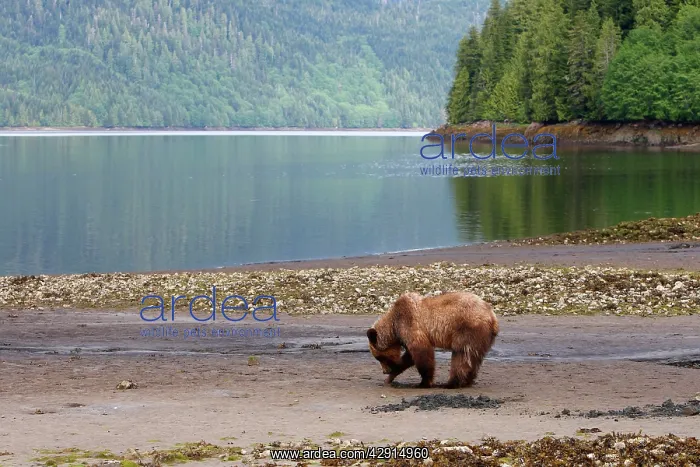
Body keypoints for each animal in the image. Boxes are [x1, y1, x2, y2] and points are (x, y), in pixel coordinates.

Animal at [366, 291, 499, 389]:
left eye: (380, 357)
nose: (385, 371)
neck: (393, 325)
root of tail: (492, 316)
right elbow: (408, 358)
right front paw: (389, 378)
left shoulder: (410, 323)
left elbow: (421, 352)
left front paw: (424, 382)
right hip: (482, 337)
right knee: (473, 357)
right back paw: (467, 381)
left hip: (467, 328)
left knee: (462, 355)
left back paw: (452, 383)